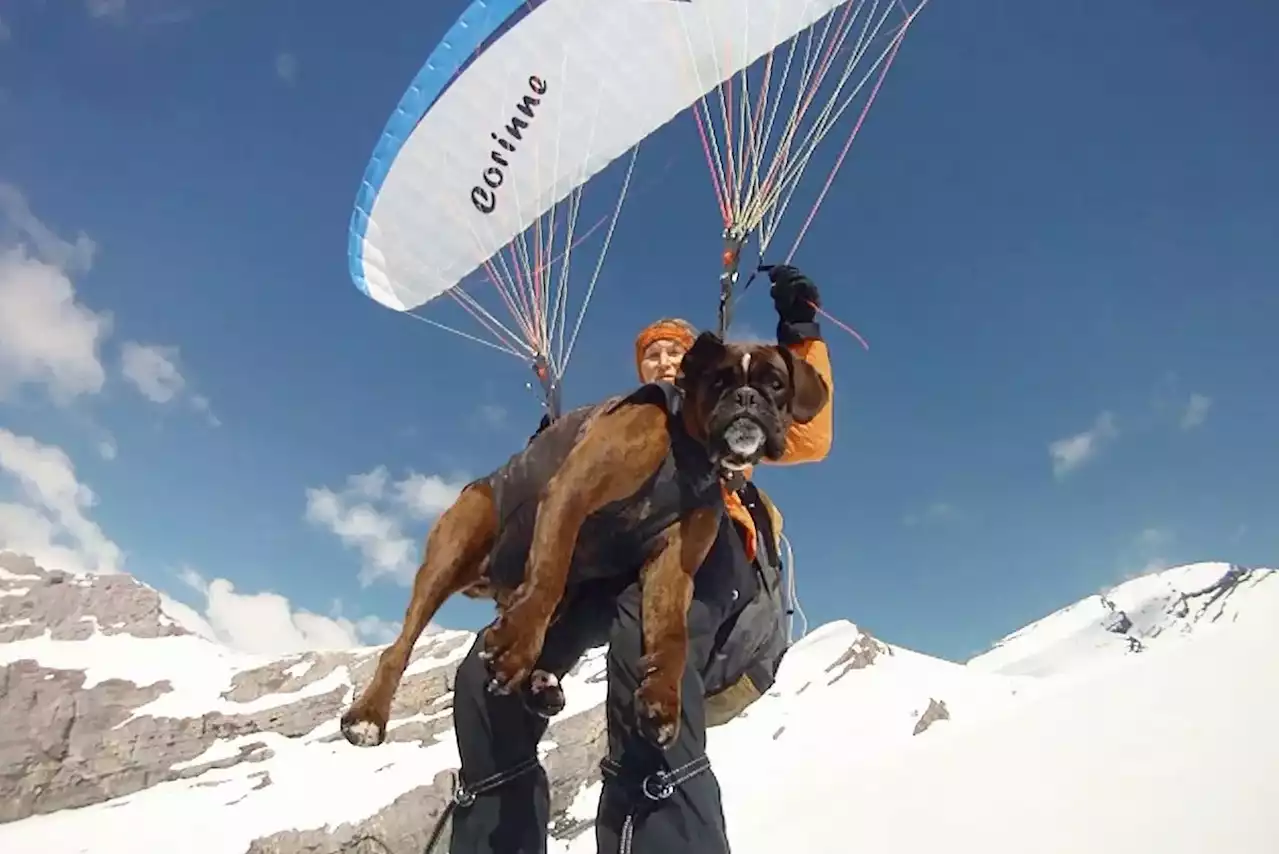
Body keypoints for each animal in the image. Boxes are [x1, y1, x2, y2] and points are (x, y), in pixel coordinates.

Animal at [335, 330, 824, 752]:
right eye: (719, 381)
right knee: (400, 647)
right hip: (455, 547)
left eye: (776, 384)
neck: (687, 452)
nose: (747, 398)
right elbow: (548, 575)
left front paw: (662, 698)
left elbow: (671, 635)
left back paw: (543, 685)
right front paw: (515, 649)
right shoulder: (572, 492)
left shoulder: (674, 567)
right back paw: (369, 717)